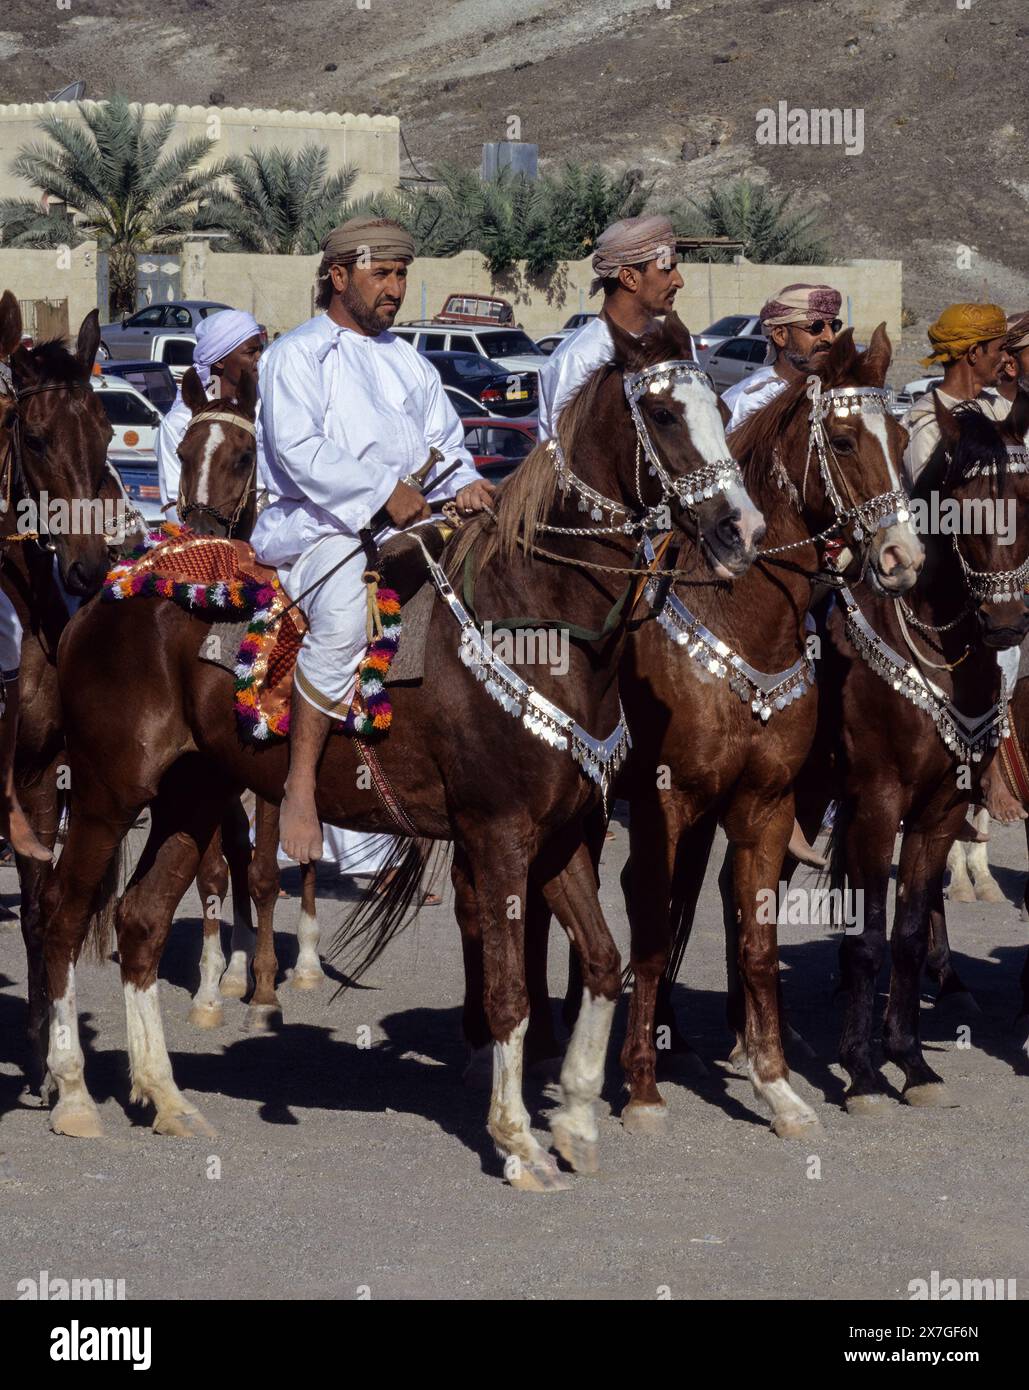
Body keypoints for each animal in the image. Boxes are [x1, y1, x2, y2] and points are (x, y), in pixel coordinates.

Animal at [40, 318, 762, 1195]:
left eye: (719, 407)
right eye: (660, 414)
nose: (741, 530)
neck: (537, 623)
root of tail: (111, 589)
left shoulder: (558, 837)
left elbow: (600, 961)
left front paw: (576, 1120)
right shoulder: (498, 835)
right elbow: (510, 993)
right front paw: (518, 1142)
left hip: (192, 795)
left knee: (140, 922)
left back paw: (167, 1097)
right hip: (108, 794)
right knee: (63, 918)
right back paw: (75, 1095)